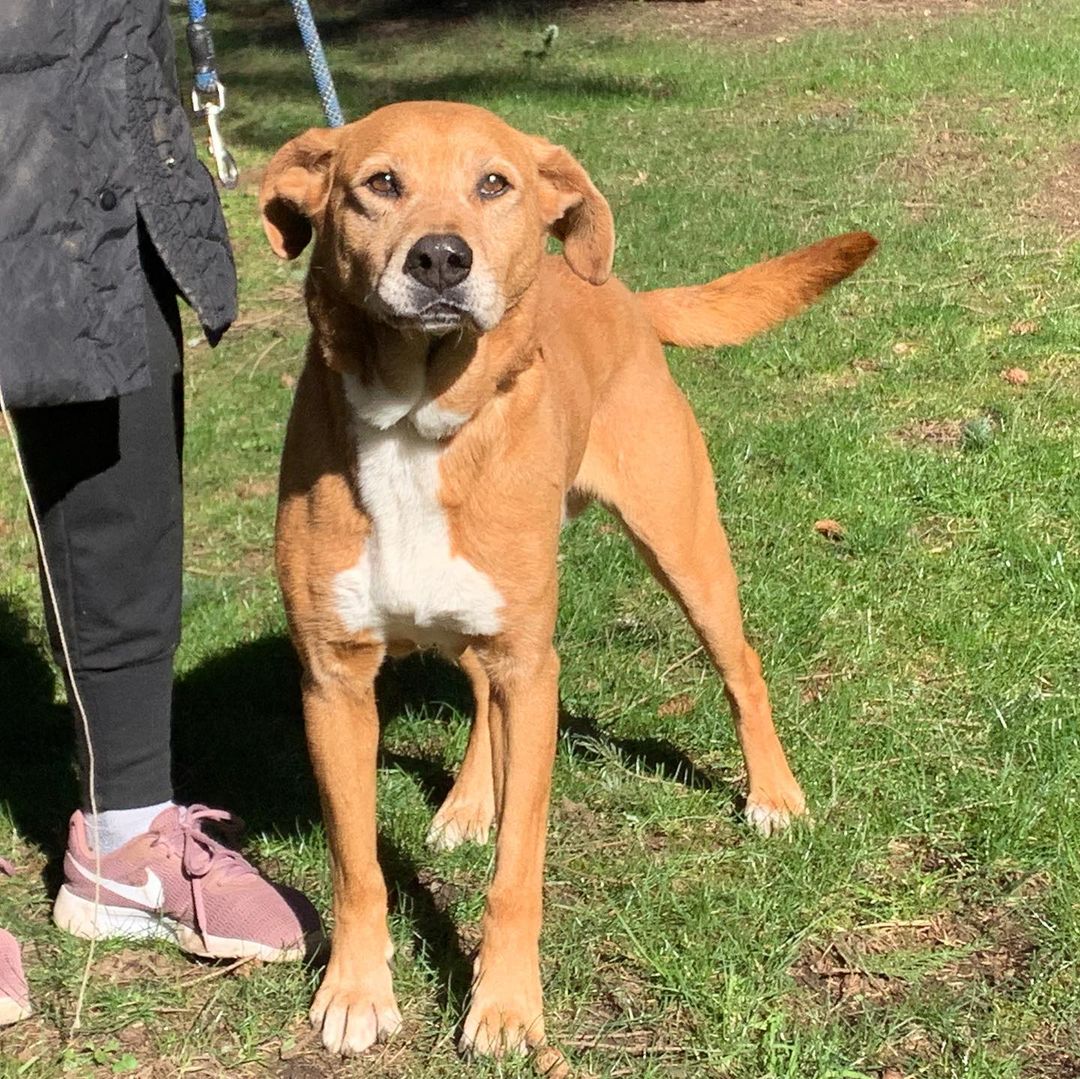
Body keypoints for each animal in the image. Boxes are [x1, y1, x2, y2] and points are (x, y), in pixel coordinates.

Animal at [261, 101, 876, 1062]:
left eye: (494, 183)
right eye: (380, 183)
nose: (441, 258)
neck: (417, 422)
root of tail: (617, 291)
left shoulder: (532, 667)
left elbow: (518, 869)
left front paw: (507, 1005)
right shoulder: (334, 677)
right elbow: (357, 863)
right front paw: (356, 989)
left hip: (683, 545)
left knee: (741, 666)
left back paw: (773, 793)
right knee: (479, 691)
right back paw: (469, 800)